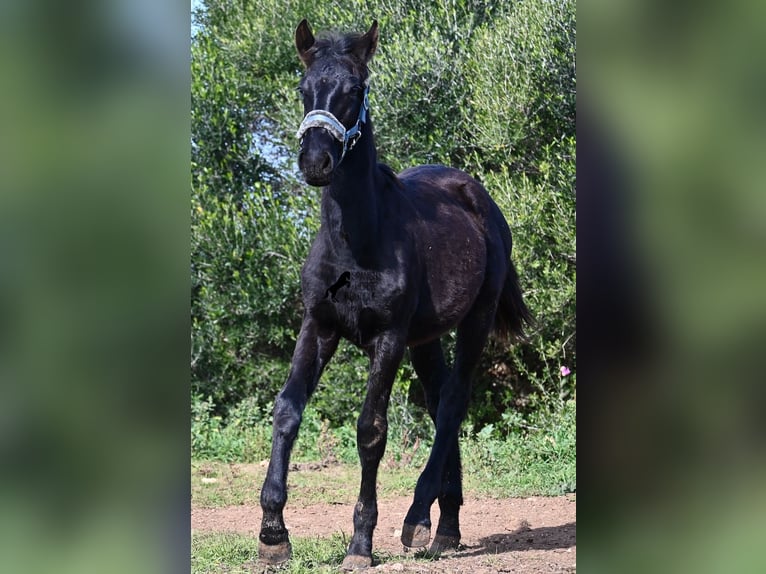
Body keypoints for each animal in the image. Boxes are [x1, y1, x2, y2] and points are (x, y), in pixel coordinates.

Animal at [260, 18, 536, 572]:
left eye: (354, 90)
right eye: (303, 89)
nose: (316, 161)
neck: (356, 240)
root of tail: (478, 196)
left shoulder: (387, 337)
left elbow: (371, 429)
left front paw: (360, 543)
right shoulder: (318, 325)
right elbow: (287, 409)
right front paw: (273, 533)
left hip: (474, 319)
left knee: (453, 401)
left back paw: (417, 517)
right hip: (425, 339)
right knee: (439, 401)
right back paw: (446, 527)